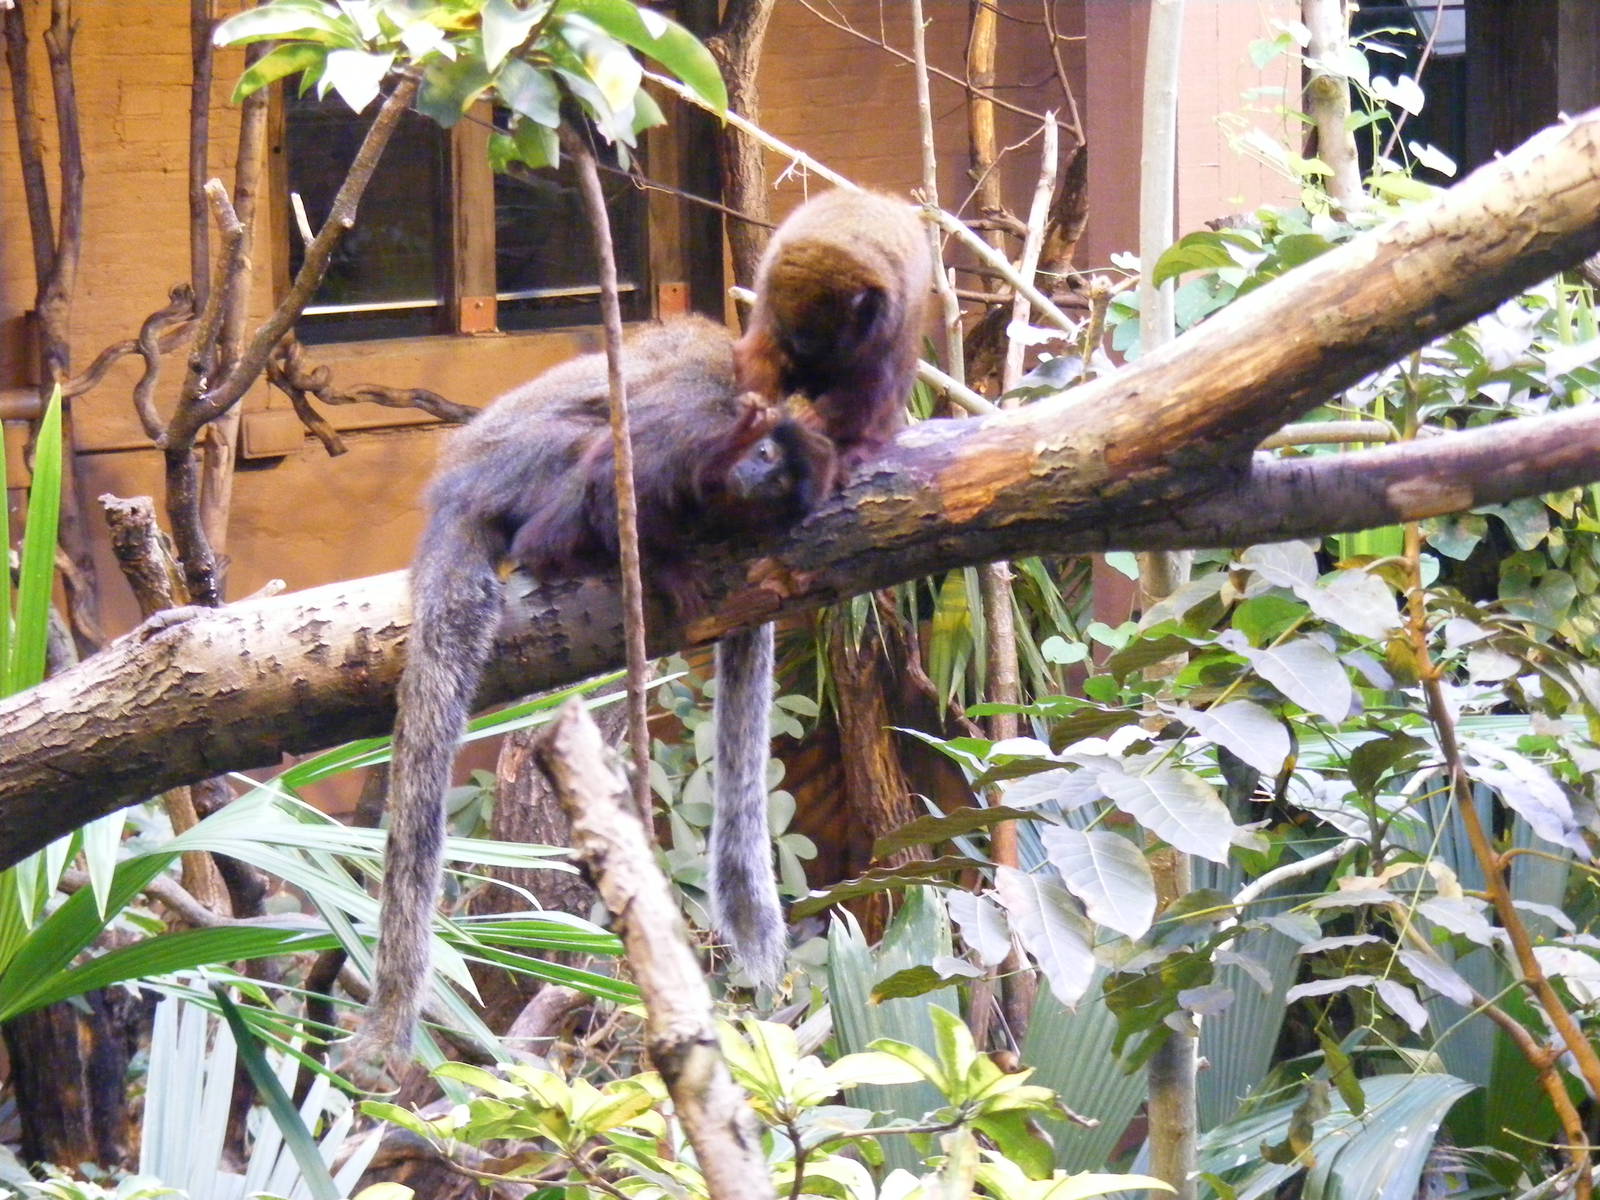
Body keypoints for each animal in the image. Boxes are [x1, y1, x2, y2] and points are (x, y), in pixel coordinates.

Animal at [350, 315, 836, 1067]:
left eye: (782, 479)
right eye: (761, 455)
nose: (758, 475)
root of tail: (458, 481)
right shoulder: (693, 424)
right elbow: (615, 470)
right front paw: (660, 557)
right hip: (518, 467)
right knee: (581, 463)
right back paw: (562, 549)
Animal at [711, 189, 932, 990]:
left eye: (825, 338)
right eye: (803, 341)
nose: (808, 361)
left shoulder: (886, 326)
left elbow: (868, 390)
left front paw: (840, 442)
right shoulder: (775, 311)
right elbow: (757, 364)